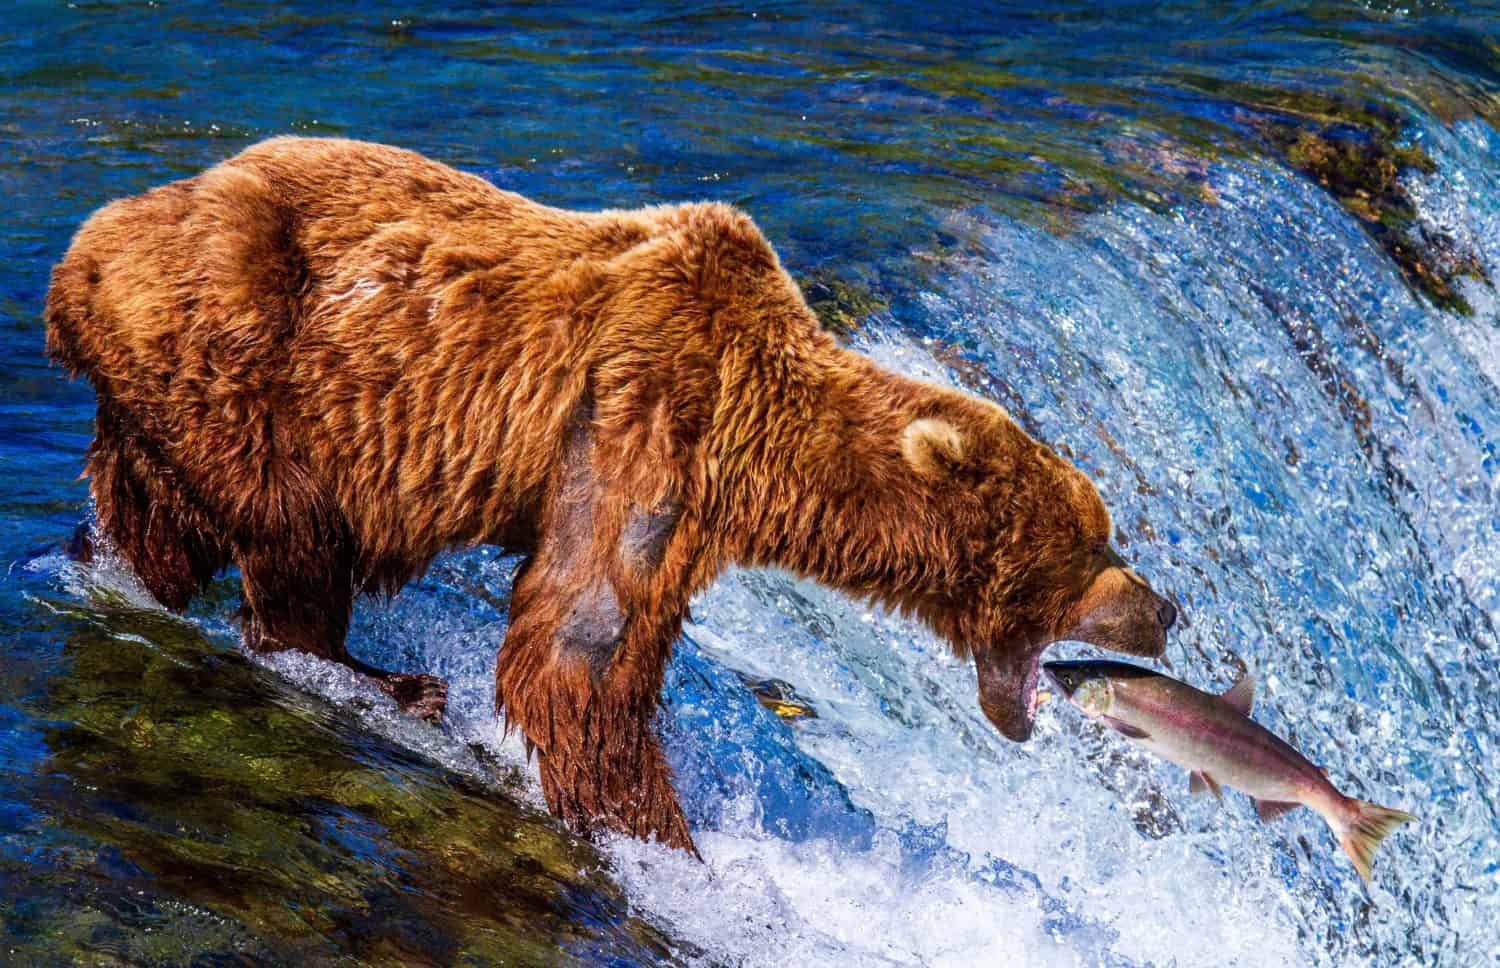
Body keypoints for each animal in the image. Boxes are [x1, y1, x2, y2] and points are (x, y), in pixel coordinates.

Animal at [44, 137, 1177, 852]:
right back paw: (381, 675)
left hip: (164, 388)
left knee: (160, 513)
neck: (763, 452)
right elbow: (579, 644)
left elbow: (608, 642)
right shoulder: (646, 411)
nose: (1166, 609)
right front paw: (669, 840)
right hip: (239, 344)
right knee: (294, 534)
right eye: (1096, 541)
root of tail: (90, 240)